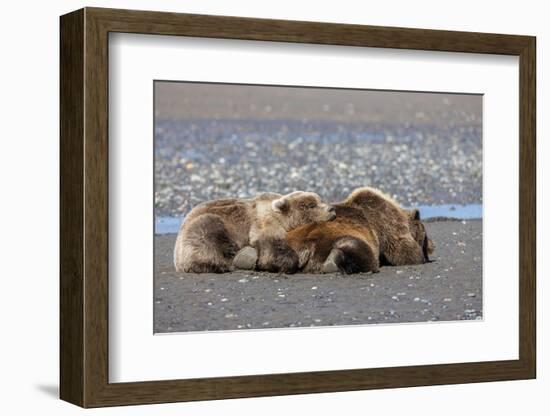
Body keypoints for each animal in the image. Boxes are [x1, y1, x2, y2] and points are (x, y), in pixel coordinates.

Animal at [175, 191, 336, 274]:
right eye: (310, 205)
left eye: (320, 200)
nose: (331, 209)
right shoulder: (264, 223)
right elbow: (271, 245)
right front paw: (282, 263)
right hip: (204, 227)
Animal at [284, 188, 436, 272]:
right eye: (426, 238)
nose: (432, 245)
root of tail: (305, 248)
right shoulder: (387, 223)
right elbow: (404, 251)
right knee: (361, 250)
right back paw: (333, 262)